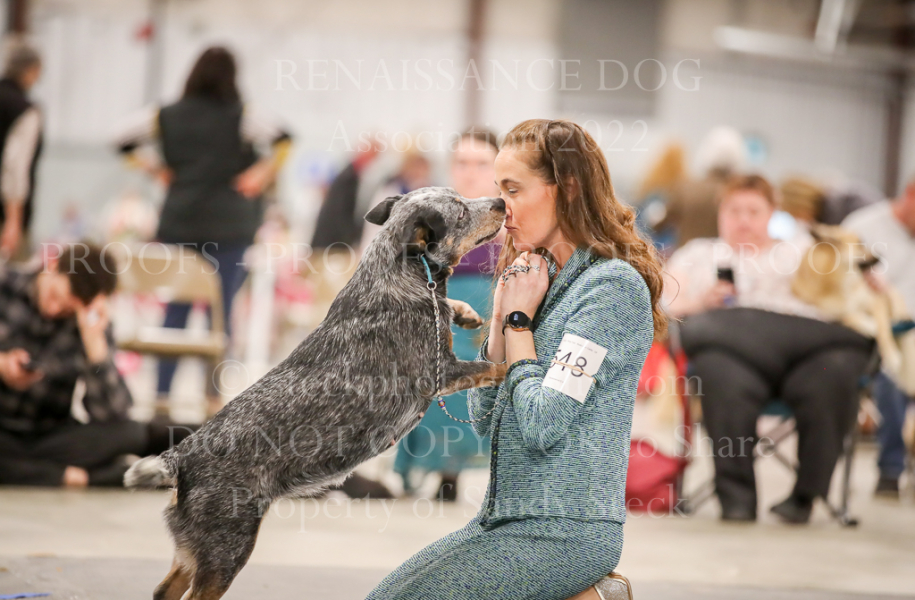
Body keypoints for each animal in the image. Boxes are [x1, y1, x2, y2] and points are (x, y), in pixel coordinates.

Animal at [124, 187, 508, 600]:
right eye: (460, 211)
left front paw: (464, 312)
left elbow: (455, 313)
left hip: (192, 549)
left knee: (164, 591)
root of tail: (180, 456)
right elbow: (493, 367)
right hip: (227, 549)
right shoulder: (442, 373)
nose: (501, 201)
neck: (397, 277)